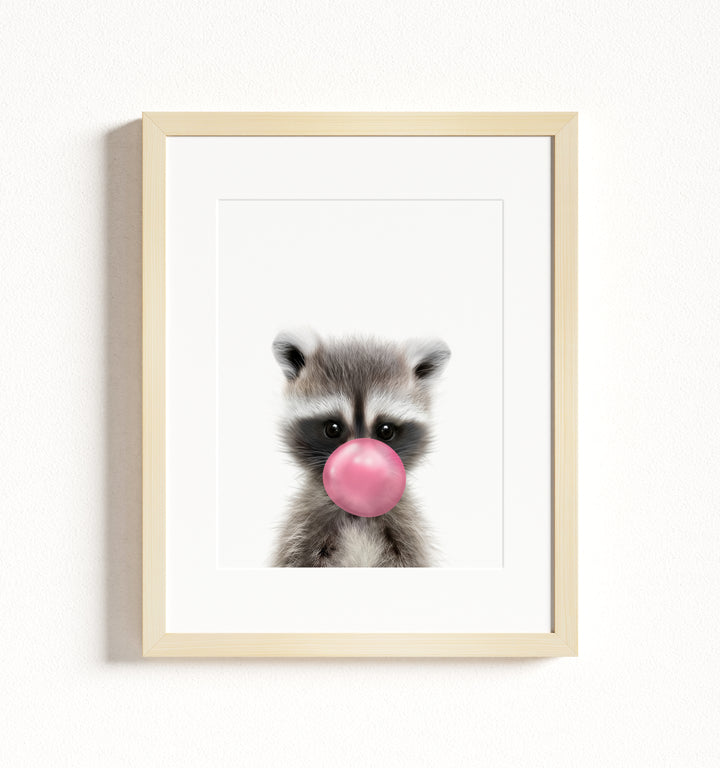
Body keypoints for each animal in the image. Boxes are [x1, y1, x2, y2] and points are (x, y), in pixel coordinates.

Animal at [270, 330, 450, 567]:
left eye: (385, 431)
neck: (357, 508)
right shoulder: (304, 527)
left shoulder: (405, 528)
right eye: (333, 429)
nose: (361, 472)